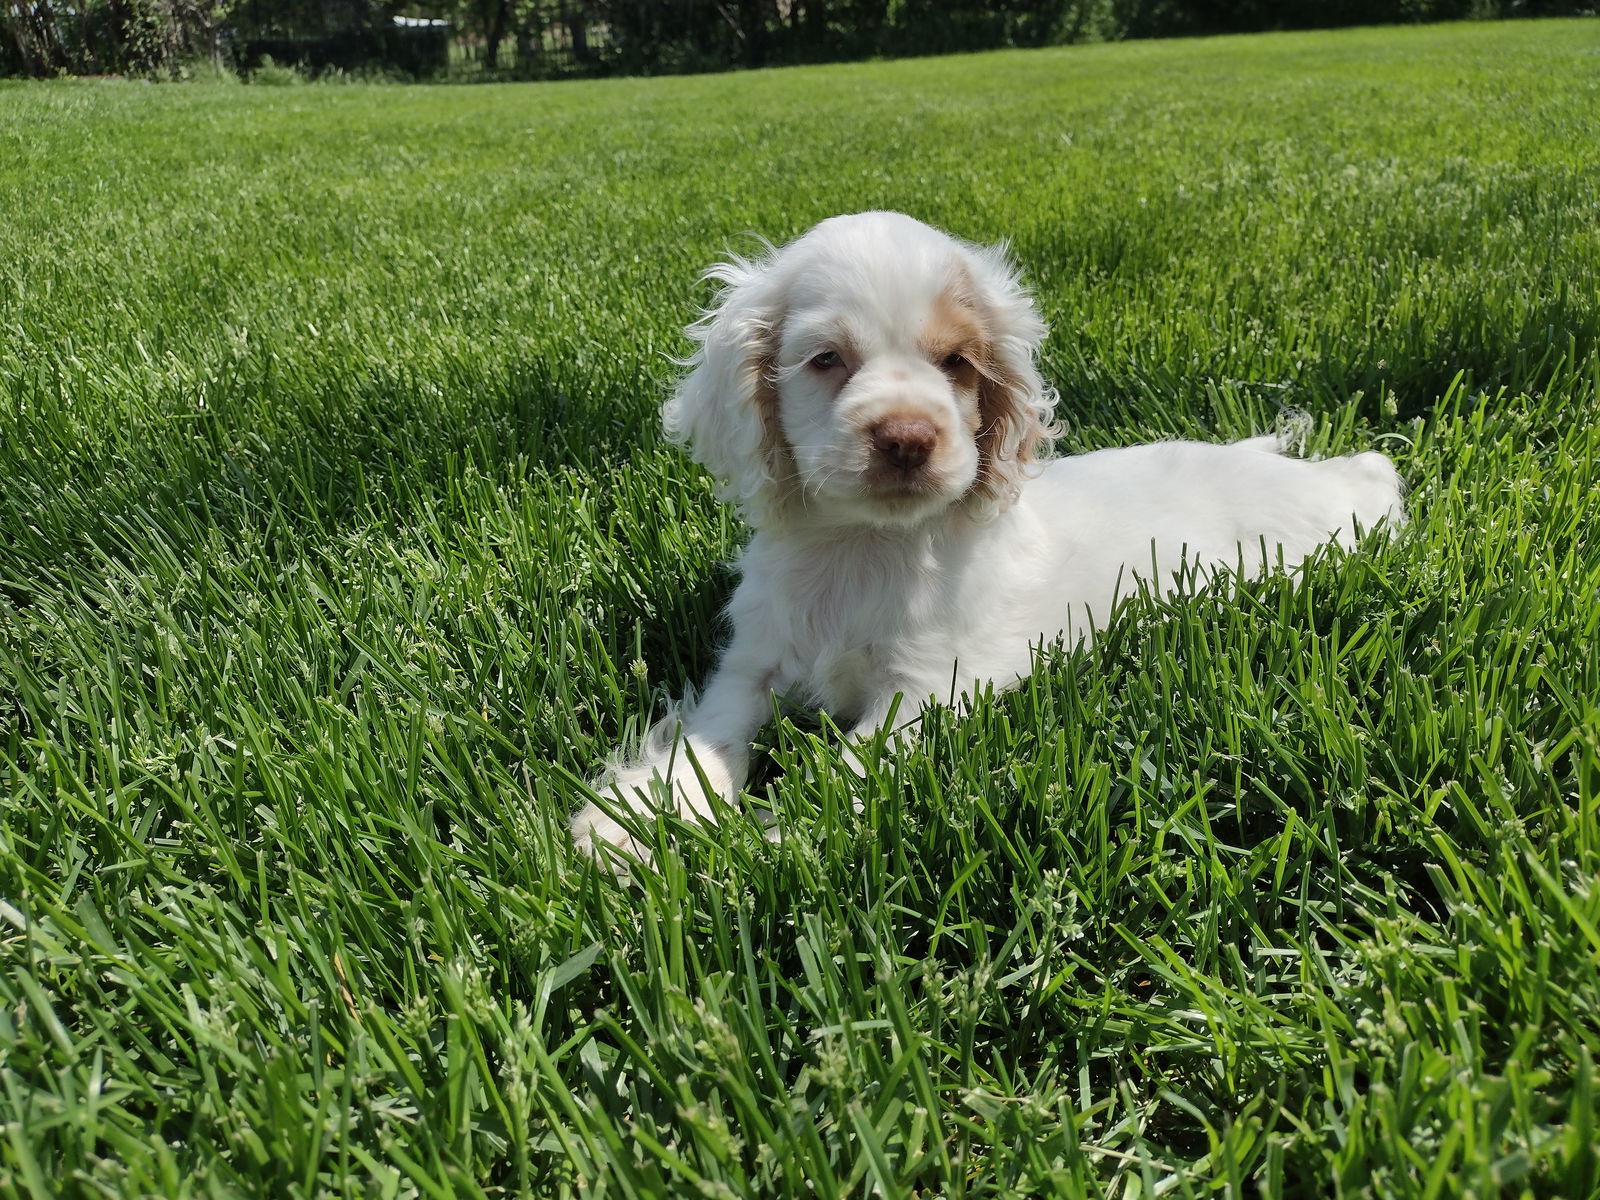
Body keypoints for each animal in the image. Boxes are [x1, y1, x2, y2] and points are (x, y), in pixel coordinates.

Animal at [572, 211, 1401, 857]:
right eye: (825, 359)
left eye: (957, 362)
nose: (906, 437)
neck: (864, 547)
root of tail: (1338, 479)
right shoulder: (754, 663)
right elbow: (709, 735)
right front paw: (633, 821)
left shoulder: (924, 688)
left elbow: (847, 769)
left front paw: (776, 845)